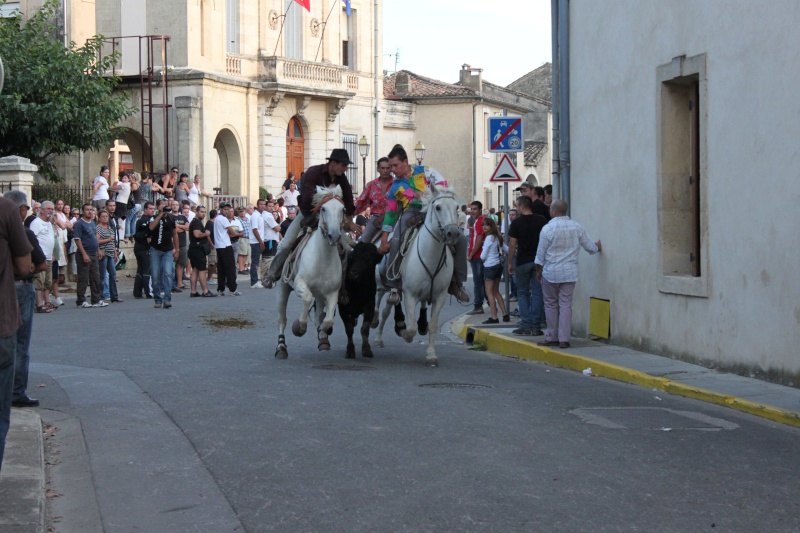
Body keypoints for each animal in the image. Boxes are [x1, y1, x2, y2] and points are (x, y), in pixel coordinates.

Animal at [276, 186, 344, 358]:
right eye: (324, 208)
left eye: (343, 209)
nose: (334, 236)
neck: (322, 257)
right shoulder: (300, 283)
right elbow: (306, 299)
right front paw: (298, 327)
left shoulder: (332, 292)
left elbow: (327, 319)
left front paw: (324, 332)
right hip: (283, 288)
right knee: (282, 319)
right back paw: (281, 347)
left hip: (319, 295)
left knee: (319, 314)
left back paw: (323, 339)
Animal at [396, 180, 460, 366]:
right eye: (438, 207)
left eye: (457, 207)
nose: (453, 233)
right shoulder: (409, 295)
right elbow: (410, 328)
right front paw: (405, 334)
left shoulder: (440, 296)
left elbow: (433, 326)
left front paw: (431, 355)